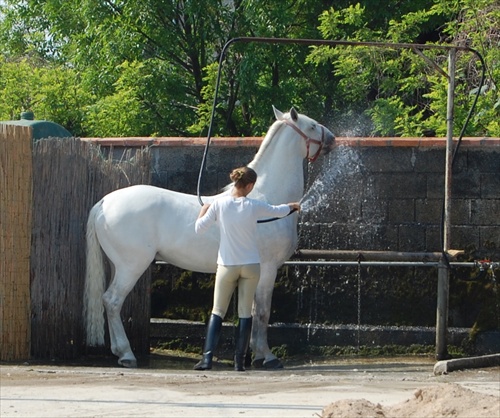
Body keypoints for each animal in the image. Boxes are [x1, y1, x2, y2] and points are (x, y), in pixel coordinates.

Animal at [84, 106, 334, 368]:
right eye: (312, 125)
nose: (332, 139)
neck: (267, 199)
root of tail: (103, 203)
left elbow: (252, 310)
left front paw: (256, 354)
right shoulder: (268, 268)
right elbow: (262, 312)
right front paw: (267, 357)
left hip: (117, 265)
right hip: (131, 266)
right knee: (113, 301)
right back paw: (127, 355)